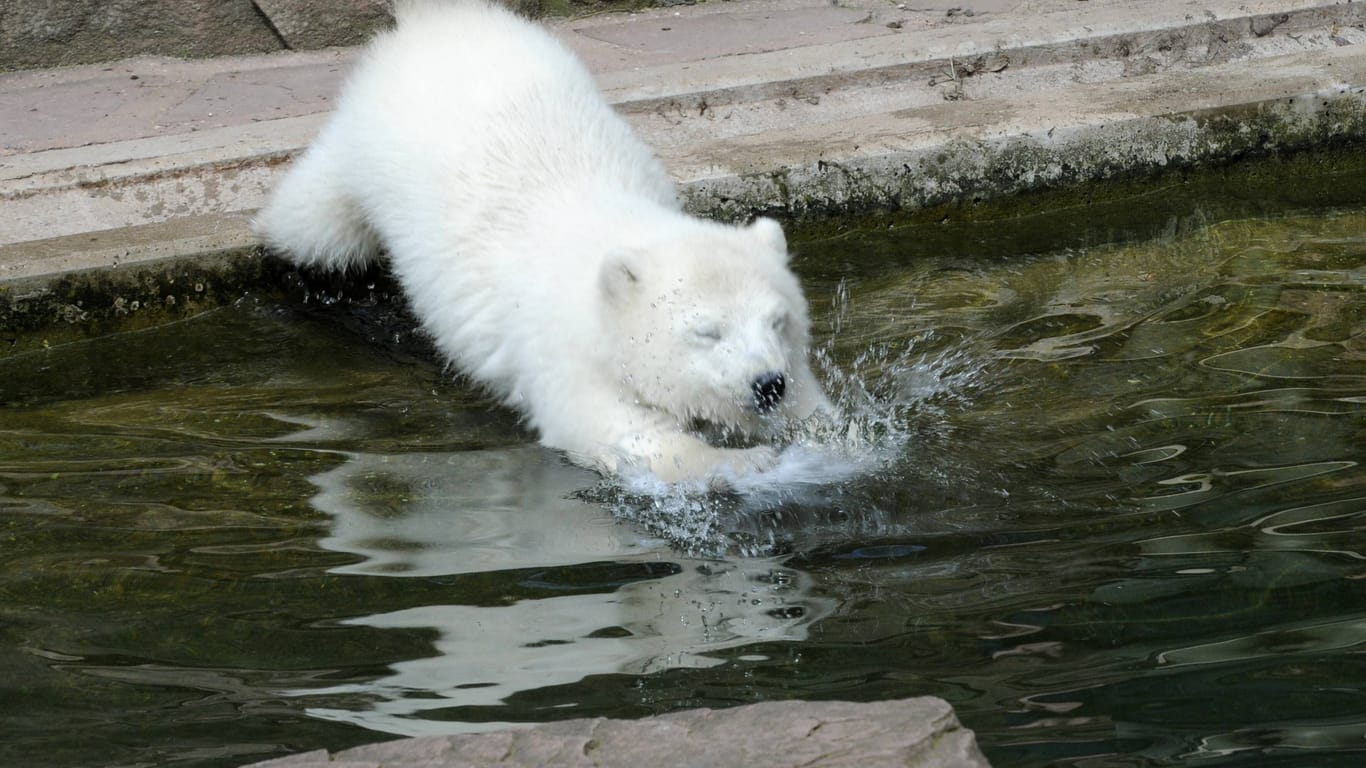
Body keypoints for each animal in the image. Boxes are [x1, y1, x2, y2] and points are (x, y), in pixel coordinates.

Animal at [256, 0, 830, 481]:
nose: (767, 382)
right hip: (366, 146)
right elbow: (612, 429)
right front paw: (748, 462)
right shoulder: (564, 349)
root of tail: (436, 20)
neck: (617, 230)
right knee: (315, 222)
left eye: (778, 321)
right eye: (706, 331)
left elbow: (811, 407)